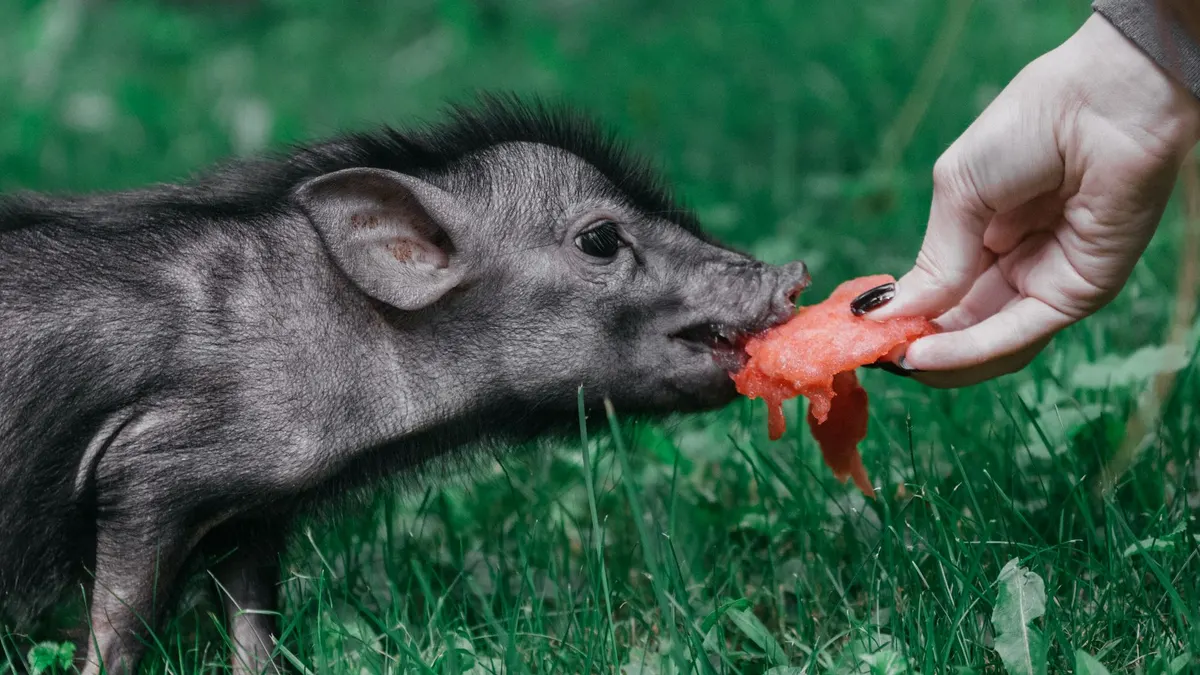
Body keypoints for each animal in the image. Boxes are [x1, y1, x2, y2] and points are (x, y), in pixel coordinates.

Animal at [0, 95, 809, 675]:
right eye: (601, 239)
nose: (795, 272)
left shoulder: (253, 507)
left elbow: (255, 624)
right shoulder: (146, 469)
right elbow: (120, 627)